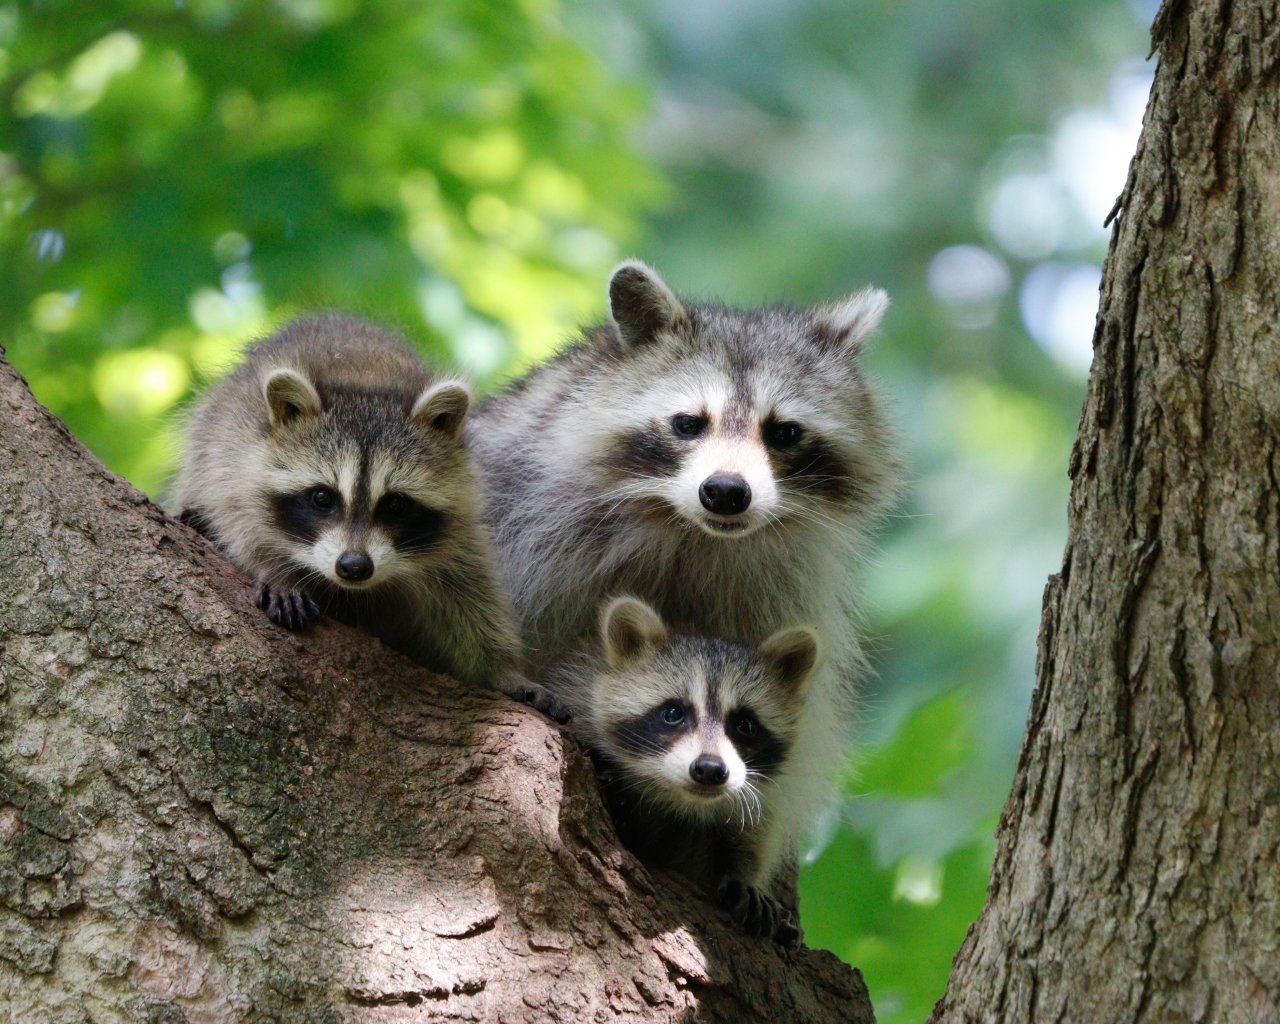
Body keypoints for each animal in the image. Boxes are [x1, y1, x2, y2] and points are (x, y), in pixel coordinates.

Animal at [173, 313, 550, 704]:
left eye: (396, 504)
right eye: (323, 498)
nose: (354, 567)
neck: (365, 385)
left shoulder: (457, 528)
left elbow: (469, 593)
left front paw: (502, 671)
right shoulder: (236, 458)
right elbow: (239, 522)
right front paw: (275, 568)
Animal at [468, 261, 899, 875]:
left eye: (783, 432)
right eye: (688, 424)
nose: (726, 492)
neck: (688, 530)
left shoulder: (787, 589)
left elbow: (799, 721)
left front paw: (751, 848)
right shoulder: (517, 508)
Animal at [550, 596, 821, 945]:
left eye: (744, 724)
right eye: (673, 713)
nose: (710, 769)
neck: (681, 799)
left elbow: (755, 833)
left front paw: (745, 875)